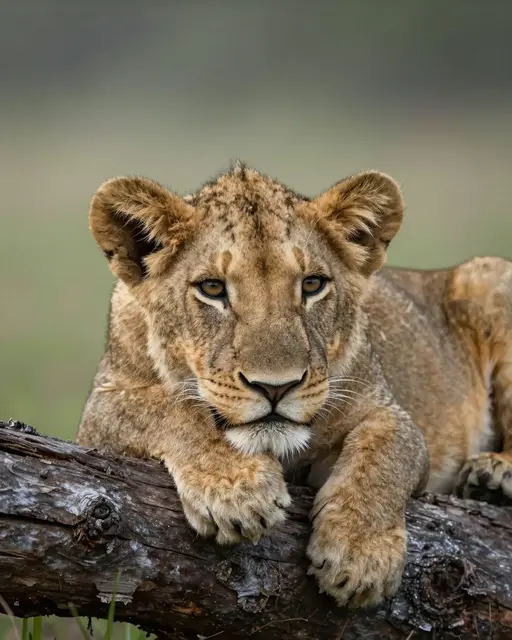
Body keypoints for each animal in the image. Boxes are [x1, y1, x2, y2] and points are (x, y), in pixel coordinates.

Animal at [77, 162, 512, 608]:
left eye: (312, 285)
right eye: (212, 288)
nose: (275, 387)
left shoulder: (386, 408)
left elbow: (388, 452)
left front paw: (359, 555)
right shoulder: (99, 412)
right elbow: (167, 407)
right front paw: (238, 491)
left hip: (490, 276)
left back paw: (494, 476)